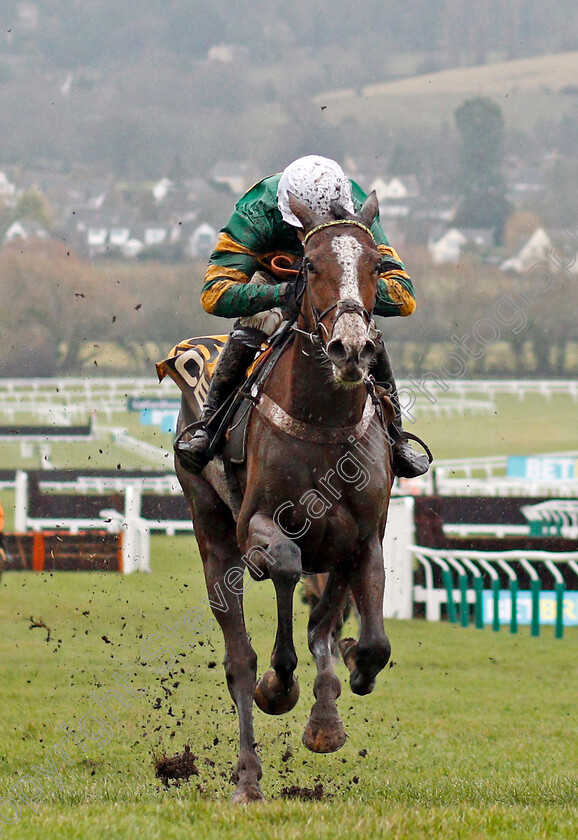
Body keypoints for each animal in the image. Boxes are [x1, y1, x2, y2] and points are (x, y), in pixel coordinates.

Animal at [173, 189, 394, 800]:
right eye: (311, 265)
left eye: (376, 265)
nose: (351, 349)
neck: (323, 424)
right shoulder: (259, 526)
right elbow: (286, 570)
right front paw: (280, 684)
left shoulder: (363, 538)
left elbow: (368, 642)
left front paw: (336, 704)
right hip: (211, 532)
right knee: (239, 658)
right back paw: (248, 776)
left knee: (323, 621)